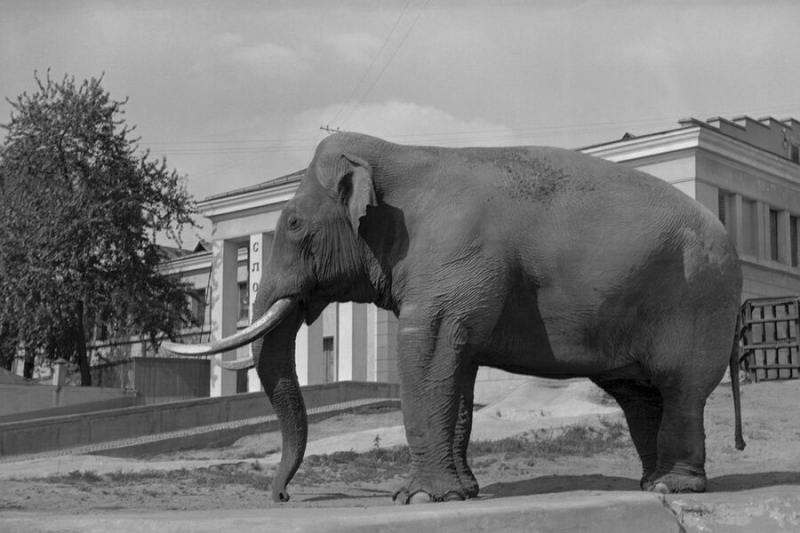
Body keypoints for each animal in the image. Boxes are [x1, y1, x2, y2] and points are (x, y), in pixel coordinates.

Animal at [166, 132, 748, 502]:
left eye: (290, 224)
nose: (282, 496)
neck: (401, 155)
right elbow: (457, 369)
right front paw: (464, 493)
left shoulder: (454, 260)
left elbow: (426, 348)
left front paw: (417, 498)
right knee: (639, 395)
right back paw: (648, 485)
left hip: (696, 301)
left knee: (679, 388)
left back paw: (673, 487)